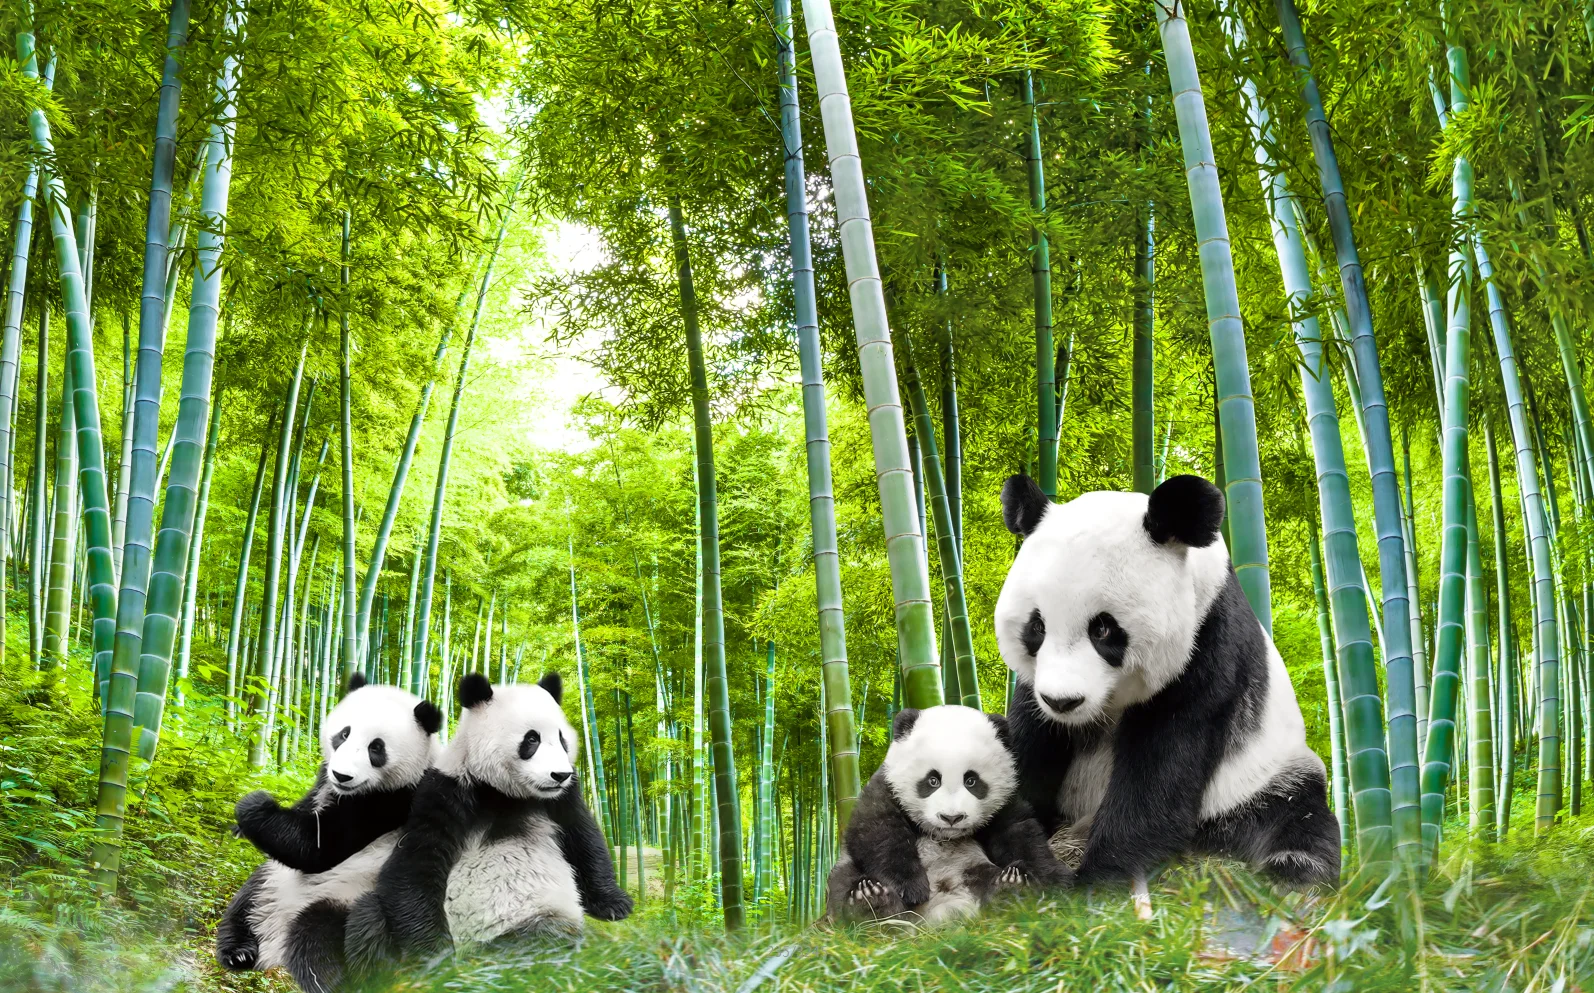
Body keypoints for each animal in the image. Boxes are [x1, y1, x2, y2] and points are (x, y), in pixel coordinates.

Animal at [214, 673, 442, 991]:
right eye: (344, 734)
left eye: (376, 748)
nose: (342, 775)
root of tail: (272, 949)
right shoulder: (323, 781)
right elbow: (304, 812)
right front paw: (240, 826)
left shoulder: (391, 802)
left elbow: (318, 847)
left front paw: (253, 805)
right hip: (273, 880)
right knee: (245, 901)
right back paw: (238, 951)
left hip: (343, 896)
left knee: (314, 936)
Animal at [345, 672, 630, 965]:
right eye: (532, 739)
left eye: (562, 739)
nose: (559, 775)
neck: (504, 792)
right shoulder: (448, 790)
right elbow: (415, 860)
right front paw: (433, 953)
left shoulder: (561, 799)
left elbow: (584, 837)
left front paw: (615, 904)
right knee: (368, 916)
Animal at [825, 705, 1070, 925]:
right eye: (933, 780)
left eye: (971, 780)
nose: (951, 818)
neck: (943, 835)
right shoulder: (886, 786)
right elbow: (877, 829)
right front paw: (910, 888)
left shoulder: (1005, 802)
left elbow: (1020, 834)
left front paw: (1054, 881)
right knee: (843, 881)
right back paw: (870, 902)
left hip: (971, 868)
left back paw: (1011, 886)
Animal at [994, 473, 1340, 889]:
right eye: (1037, 627)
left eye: (1103, 629)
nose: (1063, 702)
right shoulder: (1036, 691)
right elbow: (1029, 744)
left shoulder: (1207, 647)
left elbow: (1161, 768)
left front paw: (1098, 880)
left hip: (1263, 777)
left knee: (1296, 820)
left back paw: (1289, 874)